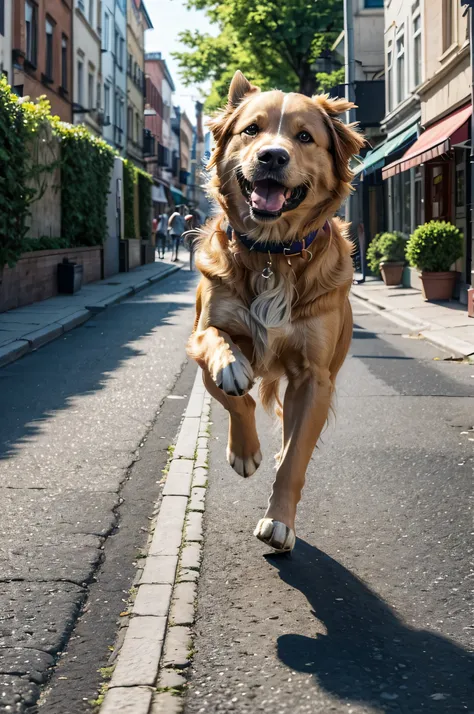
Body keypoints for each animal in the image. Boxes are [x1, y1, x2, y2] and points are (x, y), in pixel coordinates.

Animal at [187, 71, 364, 552]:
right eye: (251, 130)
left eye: (304, 137)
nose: (272, 155)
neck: (272, 253)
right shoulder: (199, 342)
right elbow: (234, 389)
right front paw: (244, 451)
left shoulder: (314, 378)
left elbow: (296, 458)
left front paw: (279, 521)